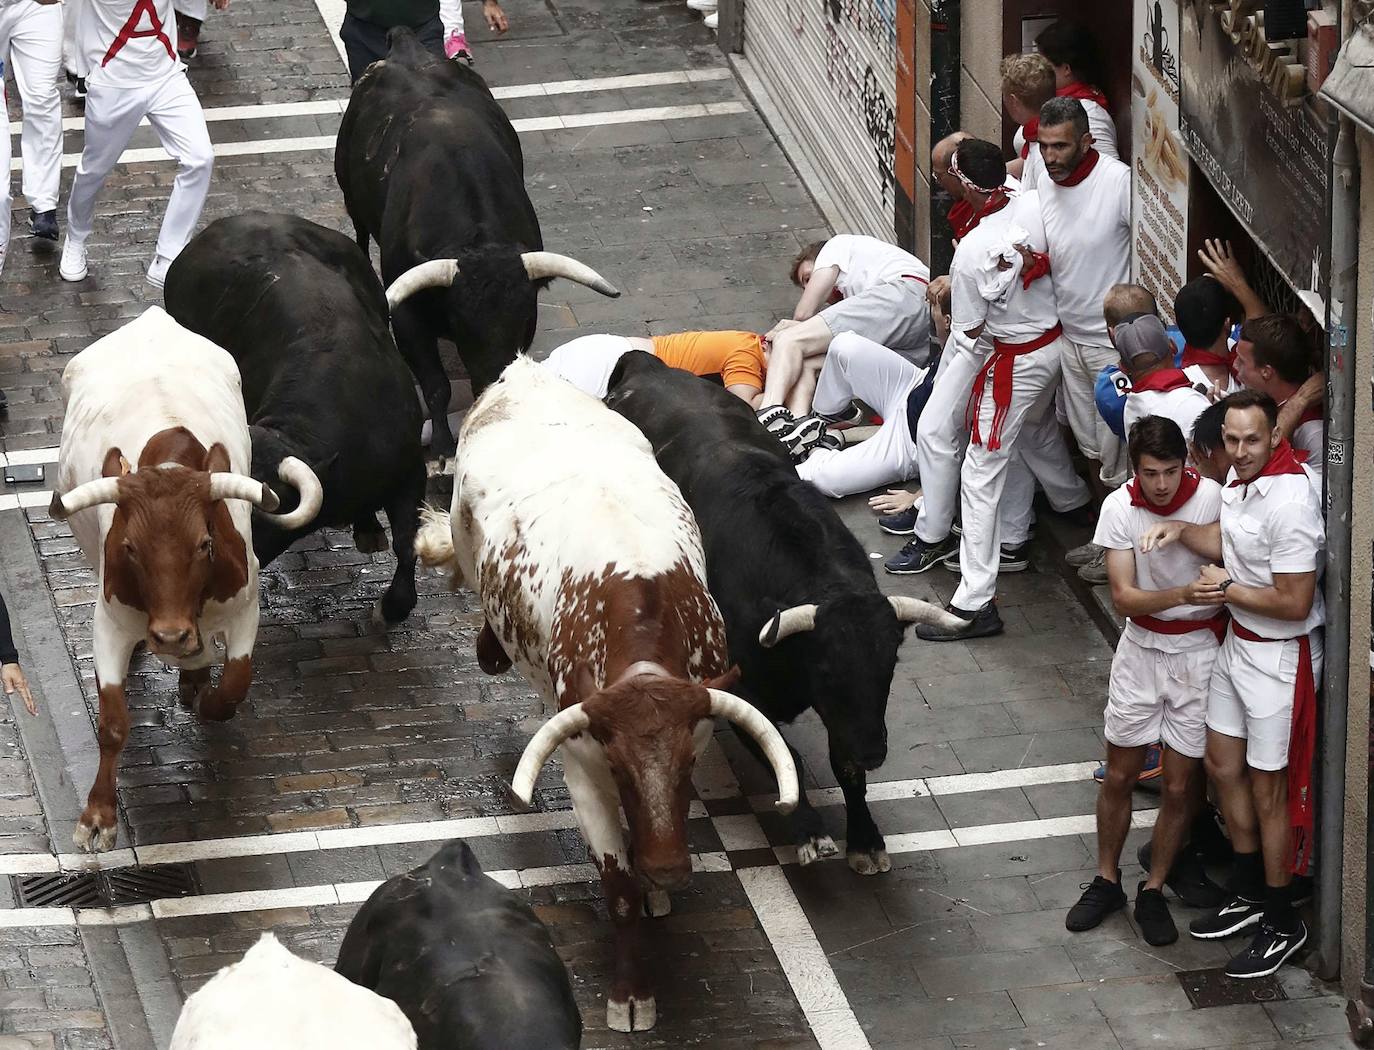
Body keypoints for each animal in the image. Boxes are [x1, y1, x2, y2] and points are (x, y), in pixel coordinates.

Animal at [52, 305, 277, 852]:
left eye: (205, 544)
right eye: (130, 548)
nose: (170, 635)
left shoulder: (246, 605)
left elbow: (235, 684)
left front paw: (206, 695)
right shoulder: (110, 623)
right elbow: (112, 724)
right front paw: (98, 816)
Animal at [338, 28, 623, 461]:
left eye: (524, 317)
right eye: (460, 320)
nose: (495, 378)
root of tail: (404, 44)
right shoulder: (408, 318)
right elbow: (436, 386)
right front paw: (442, 448)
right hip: (349, 195)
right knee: (358, 231)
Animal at [417, 357, 802, 1028]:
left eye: (688, 765)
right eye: (619, 765)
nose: (670, 870)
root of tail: (523, 371)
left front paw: (655, 890)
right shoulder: (582, 766)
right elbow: (617, 886)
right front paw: (631, 993)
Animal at [607, 351, 961, 879]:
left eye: (890, 668)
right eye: (828, 669)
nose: (874, 751)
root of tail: (644, 365)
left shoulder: (847, 716)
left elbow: (844, 765)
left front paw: (865, 838)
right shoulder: (740, 690)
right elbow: (781, 748)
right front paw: (810, 831)